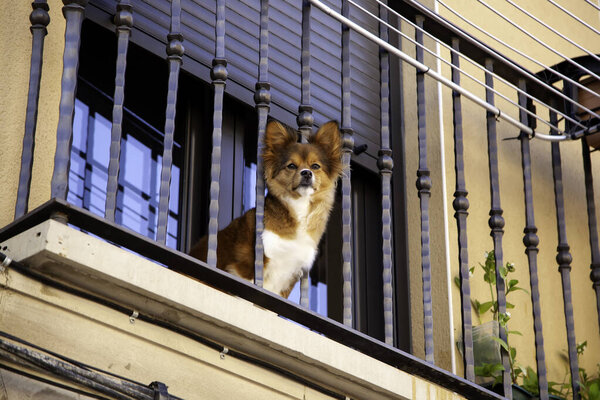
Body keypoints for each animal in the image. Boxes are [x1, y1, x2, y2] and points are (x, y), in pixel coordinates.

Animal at [190, 120, 344, 298]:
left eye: (315, 166)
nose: (306, 173)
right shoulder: (249, 263)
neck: (298, 207)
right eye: (291, 166)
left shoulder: (290, 274)